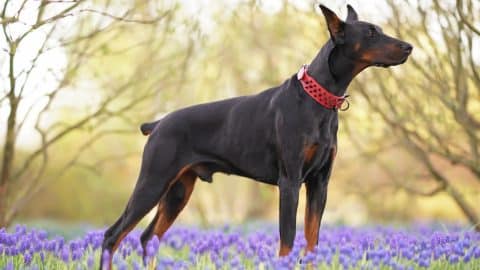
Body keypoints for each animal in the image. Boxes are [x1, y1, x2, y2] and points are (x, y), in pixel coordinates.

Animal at [99, 3, 410, 268]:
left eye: (379, 29)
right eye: (370, 33)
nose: (409, 46)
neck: (319, 99)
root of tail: (158, 123)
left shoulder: (320, 184)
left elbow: (312, 242)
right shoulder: (290, 182)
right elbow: (287, 242)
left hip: (178, 190)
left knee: (148, 237)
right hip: (153, 182)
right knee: (112, 236)